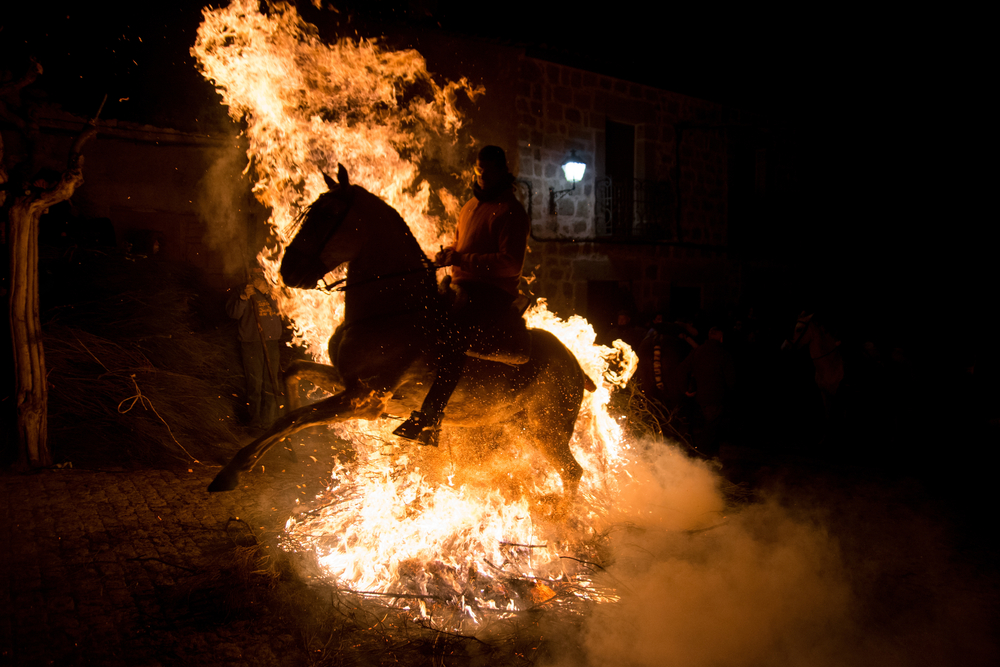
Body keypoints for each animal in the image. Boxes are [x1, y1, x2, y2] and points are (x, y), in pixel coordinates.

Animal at [205, 167, 592, 506]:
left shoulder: (364, 401)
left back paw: (560, 517)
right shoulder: (349, 384)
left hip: (547, 431)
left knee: (573, 472)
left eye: (327, 214)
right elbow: (292, 375)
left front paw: (233, 470)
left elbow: (295, 417)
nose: (289, 269)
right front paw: (286, 445)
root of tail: (577, 369)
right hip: (518, 427)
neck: (390, 311)